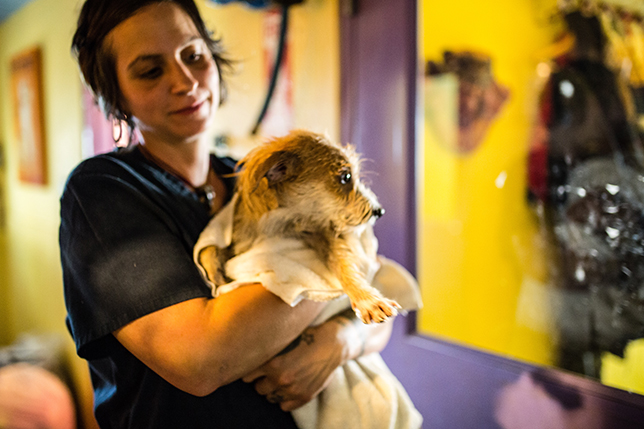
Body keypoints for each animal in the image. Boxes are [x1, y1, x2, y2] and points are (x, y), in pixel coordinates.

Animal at [196, 129, 400, 322]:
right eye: (346, 177)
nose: (379, 211)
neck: (283, 223)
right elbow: (209, 250)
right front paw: (218, 280)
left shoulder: (324, 234)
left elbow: (344, 266)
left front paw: (367, 299)